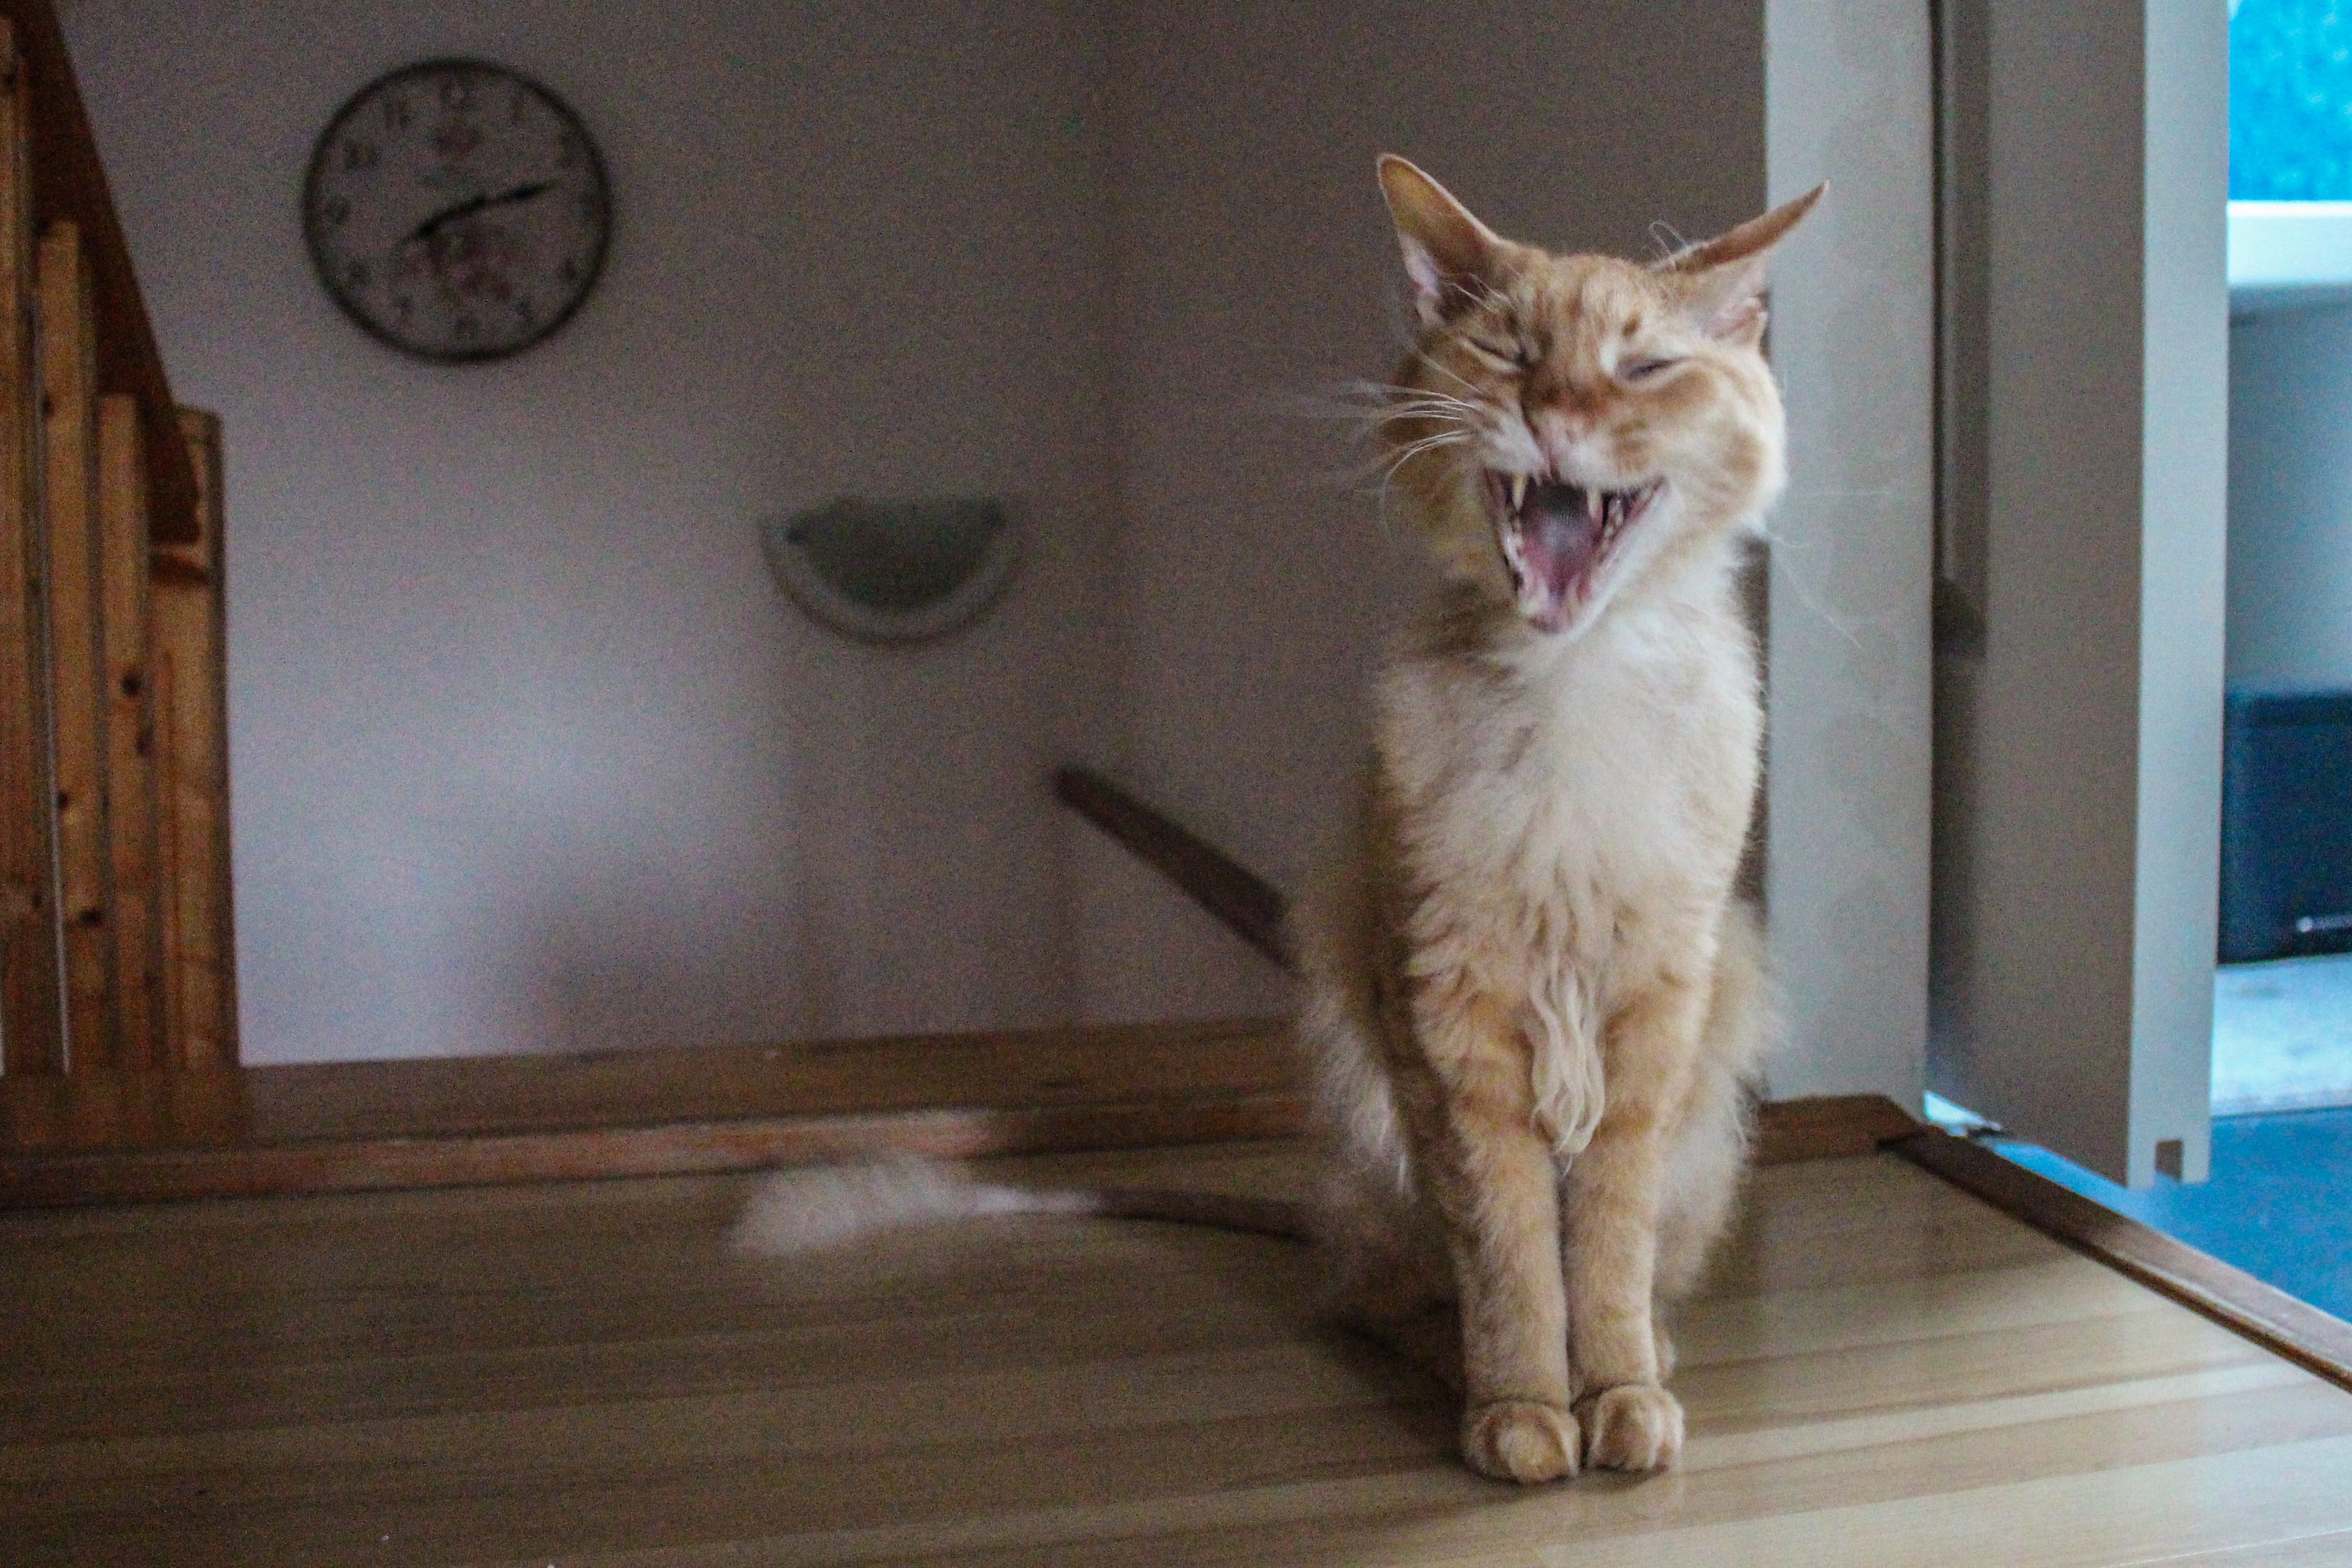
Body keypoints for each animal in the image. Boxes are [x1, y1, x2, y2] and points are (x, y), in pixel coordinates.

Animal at [733, 156, 1815, 1485]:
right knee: (1377, 1294)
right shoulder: (1449, 1011)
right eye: (1509, 352)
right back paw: (1457, 1373)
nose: (1556, 415)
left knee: (1607, 1278)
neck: (1572, 682)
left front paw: (1616, 1398)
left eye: (1645, 368)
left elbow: (1602, 1256)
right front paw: (1523, 1413)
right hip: (1368, 1105)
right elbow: (1515, 1261)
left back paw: (1651, 1360)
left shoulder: (1657, 1004)